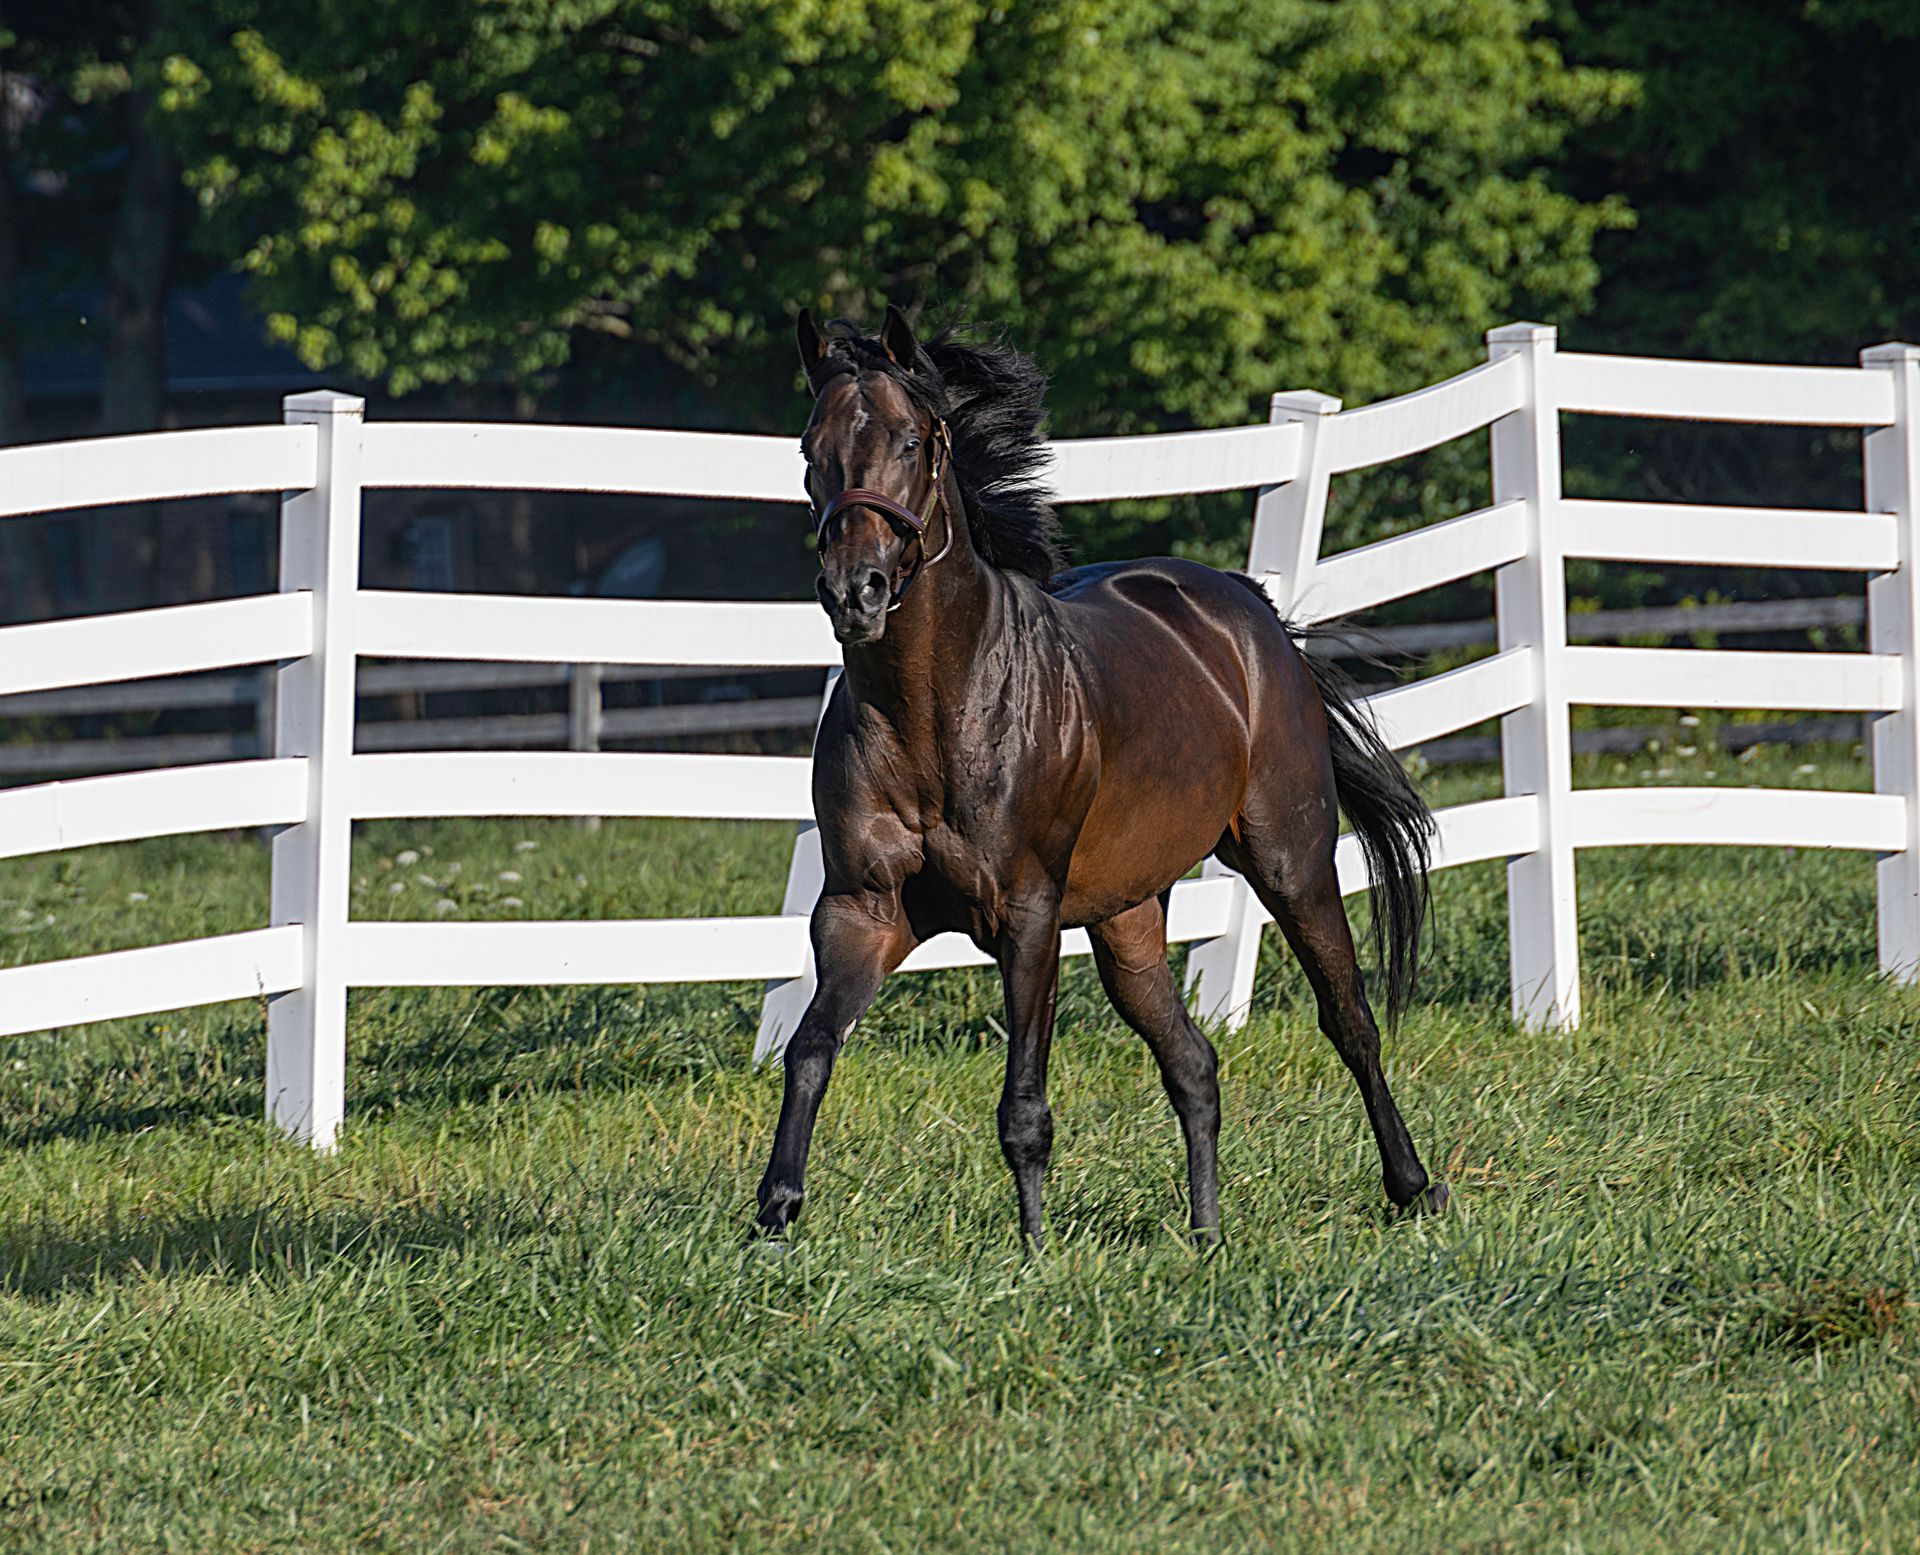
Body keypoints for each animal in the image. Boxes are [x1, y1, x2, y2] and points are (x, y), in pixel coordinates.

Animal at [756, 305, 1447, 1245]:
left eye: (910, 439)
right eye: (809, 447)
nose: (853, 592)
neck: (936, 710)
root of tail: (1248, 609)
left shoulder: (1028, 916)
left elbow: (1023, 1106)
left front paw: (1034, 1249)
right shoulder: (862, 911)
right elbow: (812, 1048)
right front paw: (774, 1211)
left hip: (1291, 862)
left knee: (1350, 1019)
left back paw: (1412, 1184)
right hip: (1128, 922)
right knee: (1193, 1060)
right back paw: (1205, 1234)